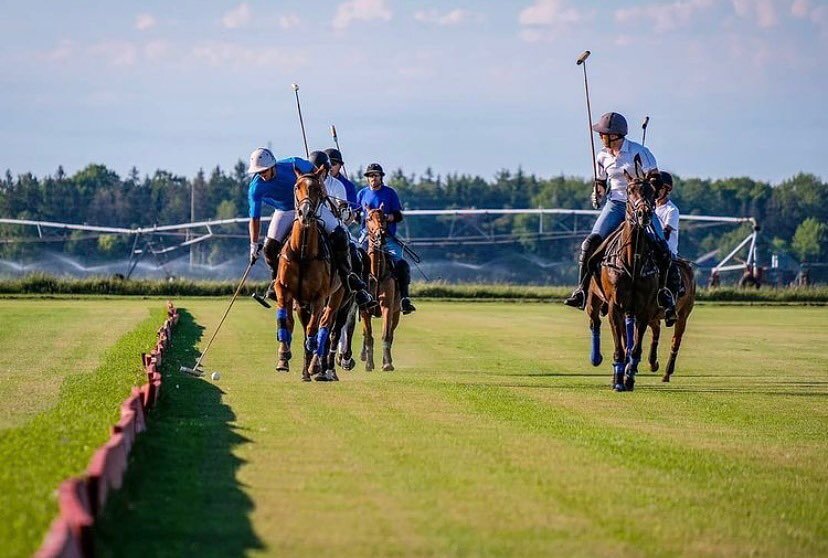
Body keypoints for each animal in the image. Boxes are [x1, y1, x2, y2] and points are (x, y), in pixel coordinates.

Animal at [274, 166, 346, 382]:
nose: (305, 213)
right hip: (302, 303)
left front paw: (313, 366)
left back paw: (317, 367)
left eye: (317, 189)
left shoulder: (318, 297)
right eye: (297, 186)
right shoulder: (284, 289)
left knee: (325, 326)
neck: (302, 252)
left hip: (336, 296)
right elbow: (286, 320)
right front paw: (283, 357)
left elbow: (313, 329)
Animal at [360, 209, 402, 372]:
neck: (376, 274)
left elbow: (386, 335)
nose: (380, 235)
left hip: (397, 312)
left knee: (391, 333)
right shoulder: (364, 309)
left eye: (384, 217)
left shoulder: (388, 307)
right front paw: (369, 364)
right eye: (368, 219)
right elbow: (368, 336)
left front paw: (387, 364)